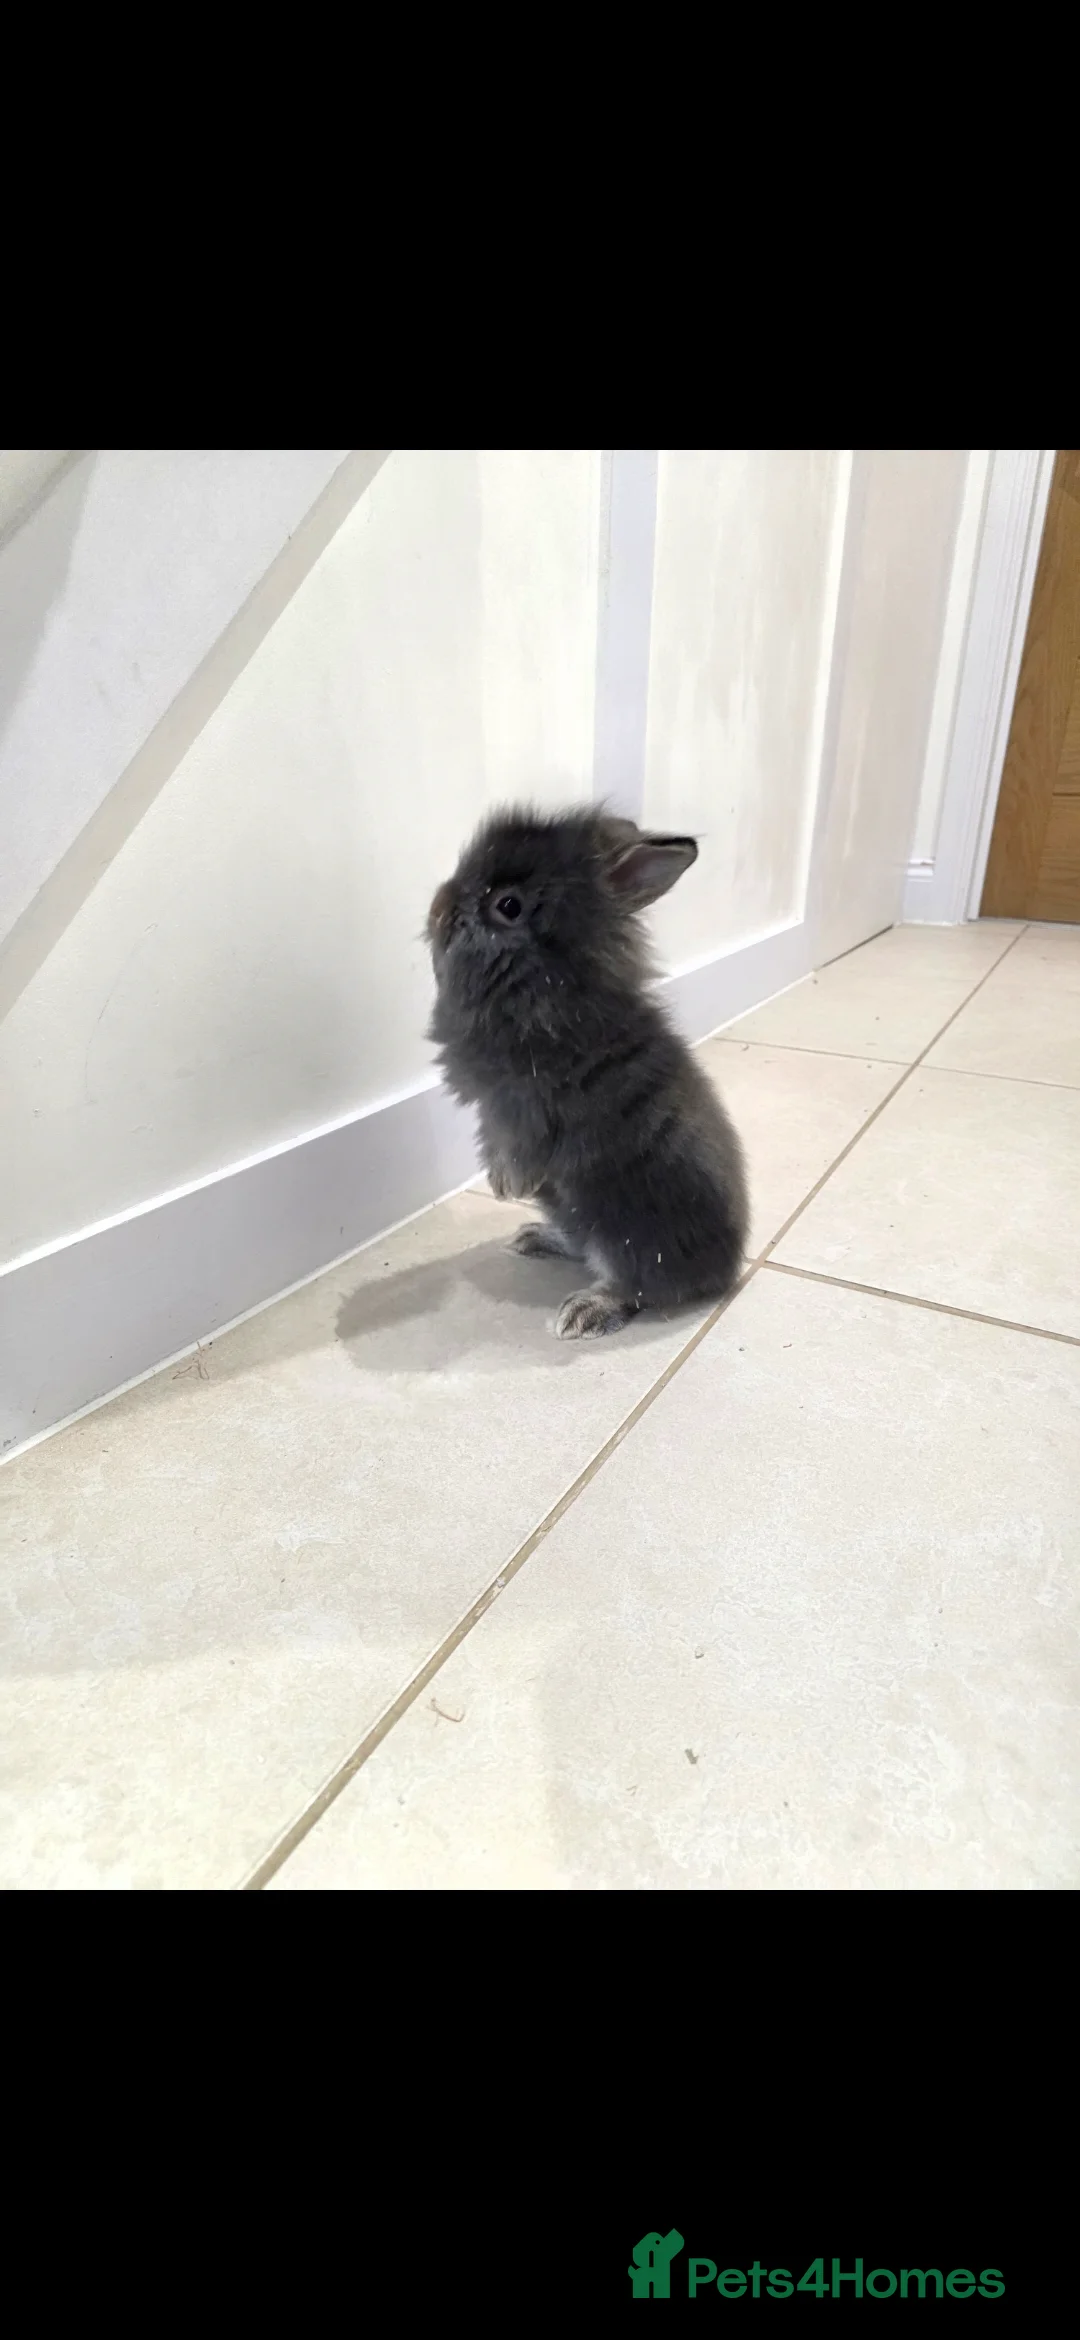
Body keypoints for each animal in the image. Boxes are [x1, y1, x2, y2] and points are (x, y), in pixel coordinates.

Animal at [426, 803, 749, 1340]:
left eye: (508, 905)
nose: (437, 907)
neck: (547, 977)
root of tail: (726, 1270)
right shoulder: (495, 1109)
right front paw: (504, 1191)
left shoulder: (525, 1108)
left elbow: (516, 1149)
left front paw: (508, 1187)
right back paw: (534, 1237)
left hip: (624, 1234)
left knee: (635, 1287)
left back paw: (582, 1312)